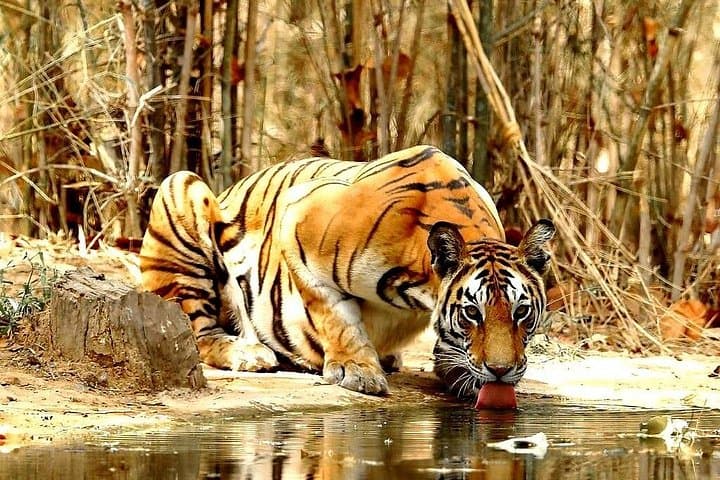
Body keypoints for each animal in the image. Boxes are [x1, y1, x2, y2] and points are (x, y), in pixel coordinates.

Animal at [139, 145, 555, 400]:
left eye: (521, 312)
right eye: (472, 313)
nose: (500, 371)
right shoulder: (297, 221)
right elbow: (335, 315)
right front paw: (359, 372)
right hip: (181, 189)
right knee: (197, 333)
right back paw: (249, 352)